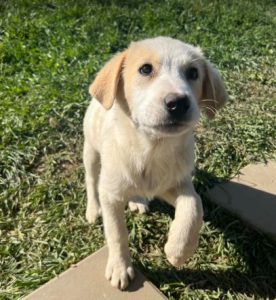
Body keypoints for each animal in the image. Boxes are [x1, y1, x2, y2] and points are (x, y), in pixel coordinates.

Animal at [83, 35, 227, 290]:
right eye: (145, 69)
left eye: (193, 73)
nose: (178, 103)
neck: (151, 148)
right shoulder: (110, 195)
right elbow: (117, 233)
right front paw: (120, 267)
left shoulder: (173, 184)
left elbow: (195, 204)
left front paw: (179, 250)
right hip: (90, 150)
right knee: (90, 180)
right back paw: (92, 209)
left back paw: (138, 200)